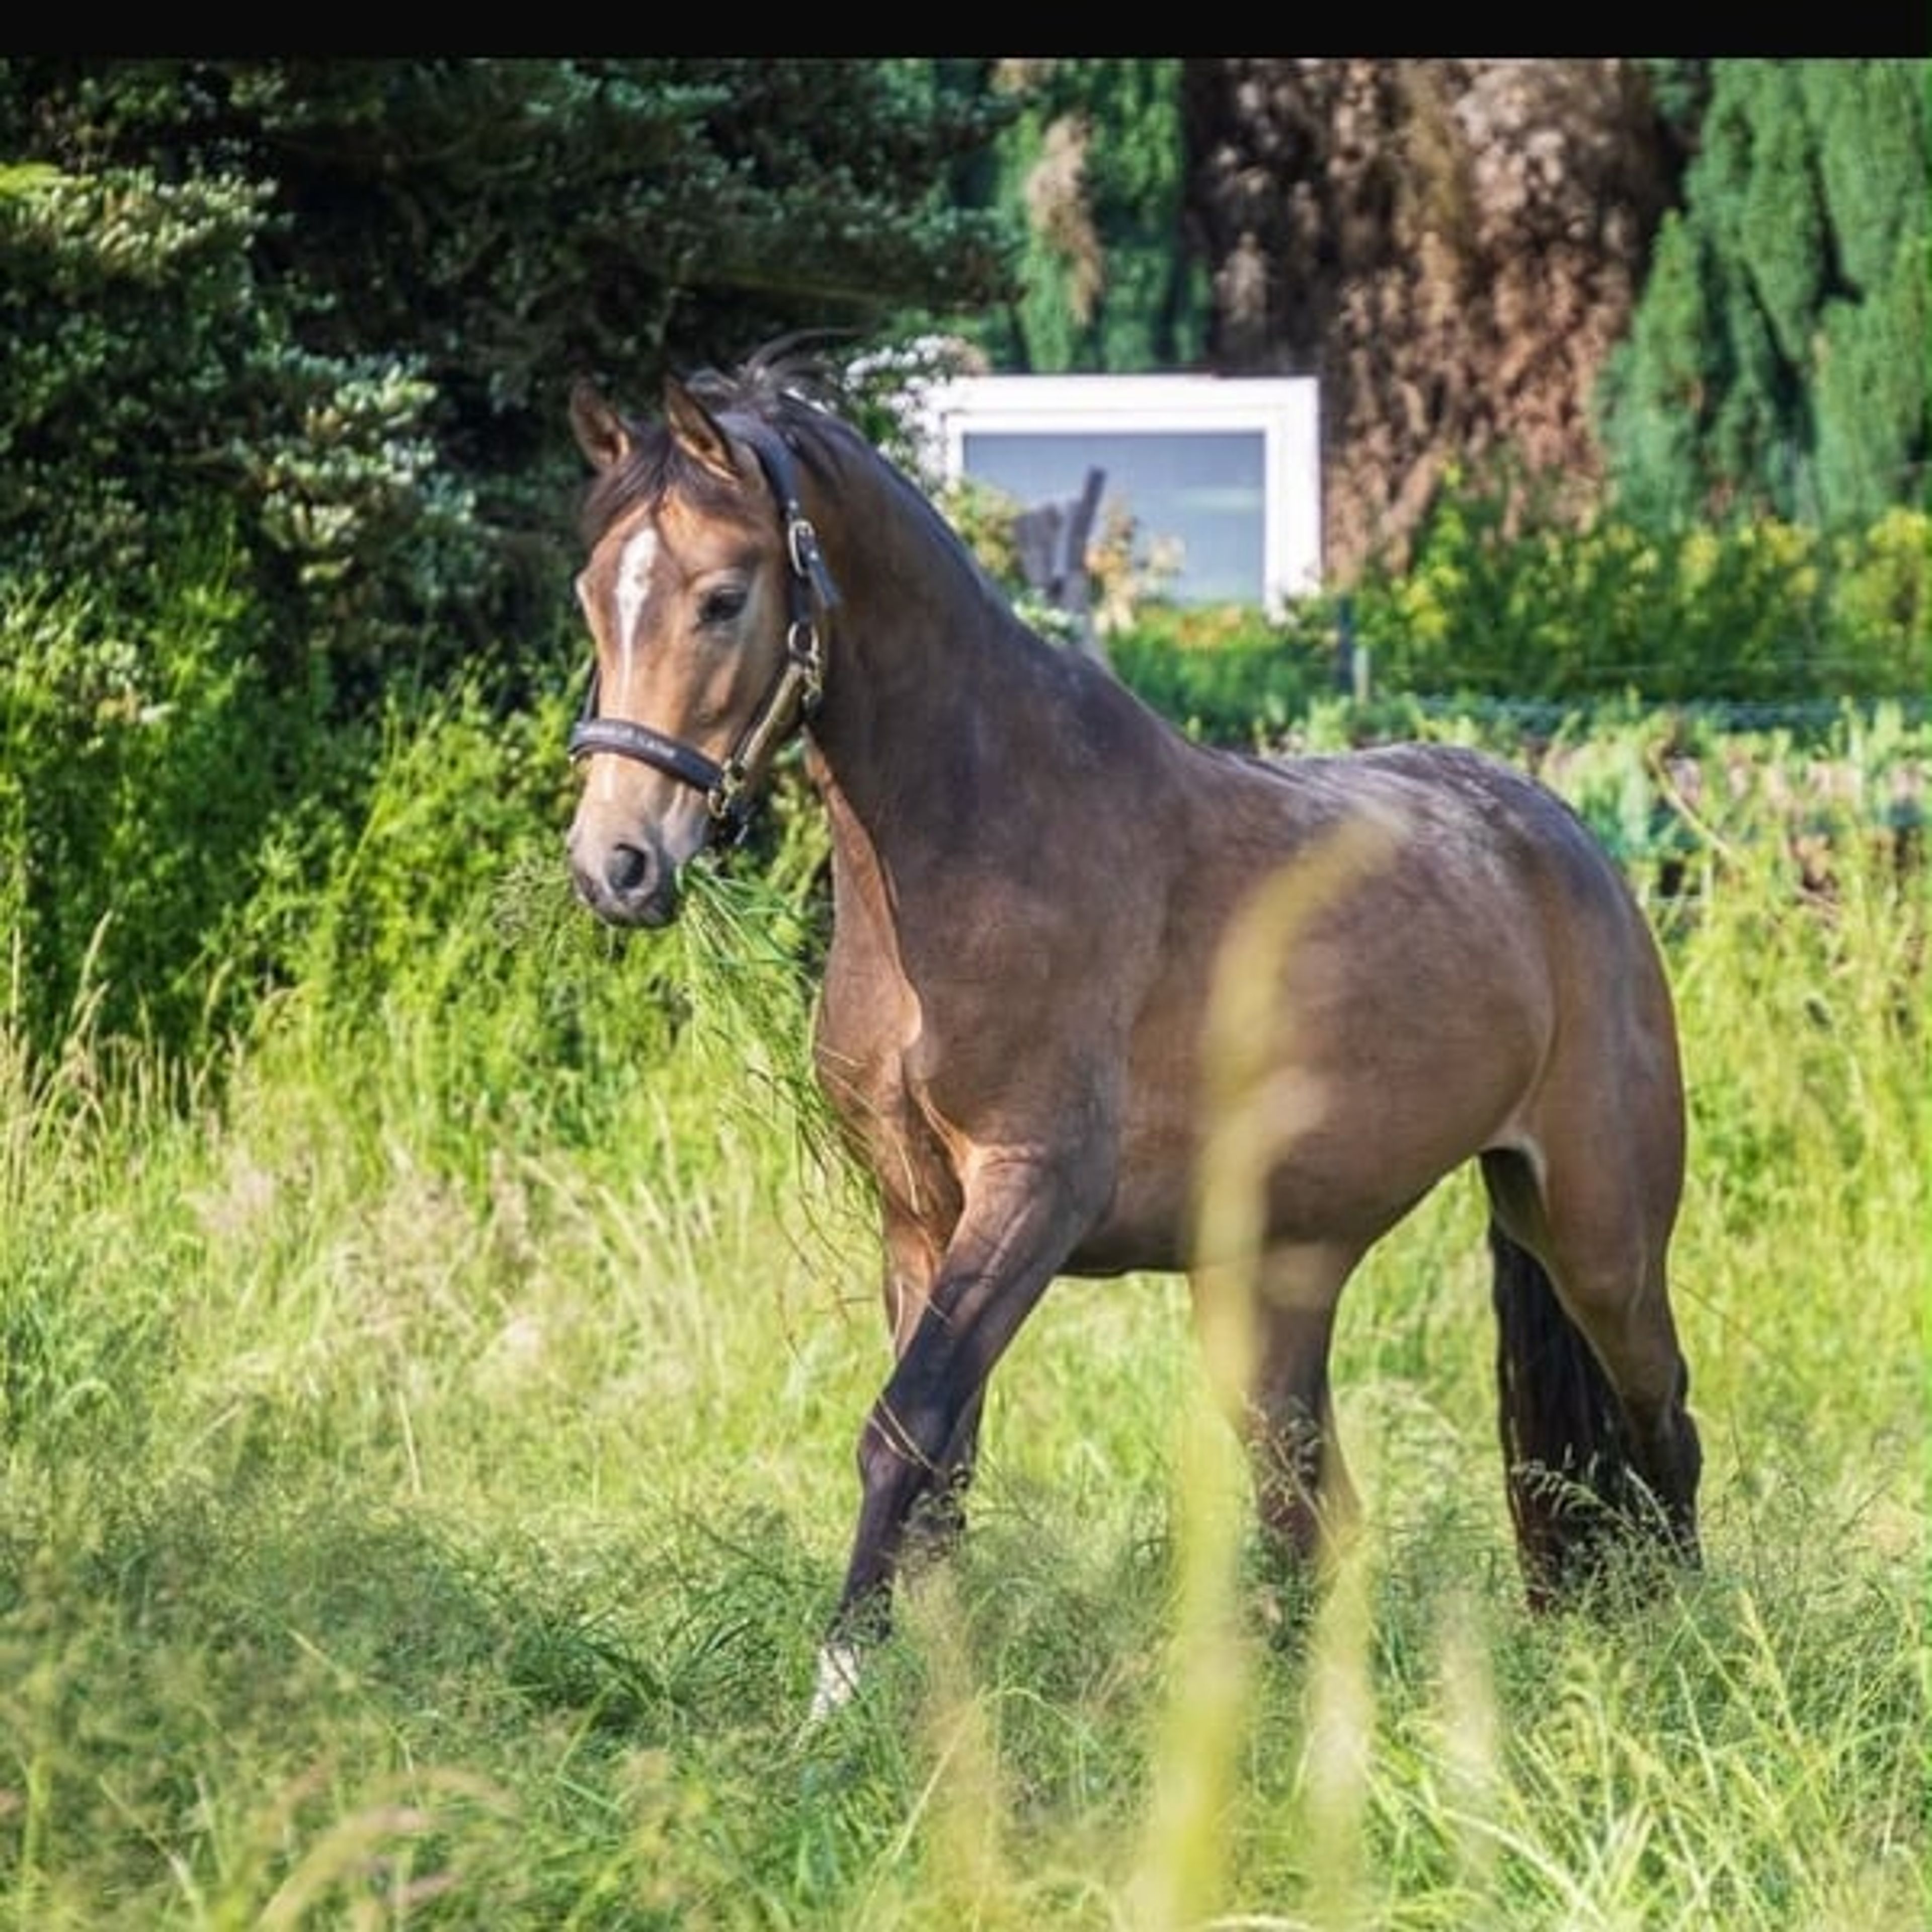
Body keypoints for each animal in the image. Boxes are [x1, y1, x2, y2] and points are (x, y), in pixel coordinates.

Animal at [561, 350, 1703, 1716]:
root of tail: (1565, 840)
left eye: (723, 598)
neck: (979, 834)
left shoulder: (1031, 1195)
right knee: (1310, 1503)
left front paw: (838, 1690)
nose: (617, 863)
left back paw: (1694, 1643)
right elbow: (943, 1462)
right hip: (1275, 1281)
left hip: (1595, 1232)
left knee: (1662, 1419)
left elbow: (903, 1430)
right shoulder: (916, 1215)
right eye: (593, 593)